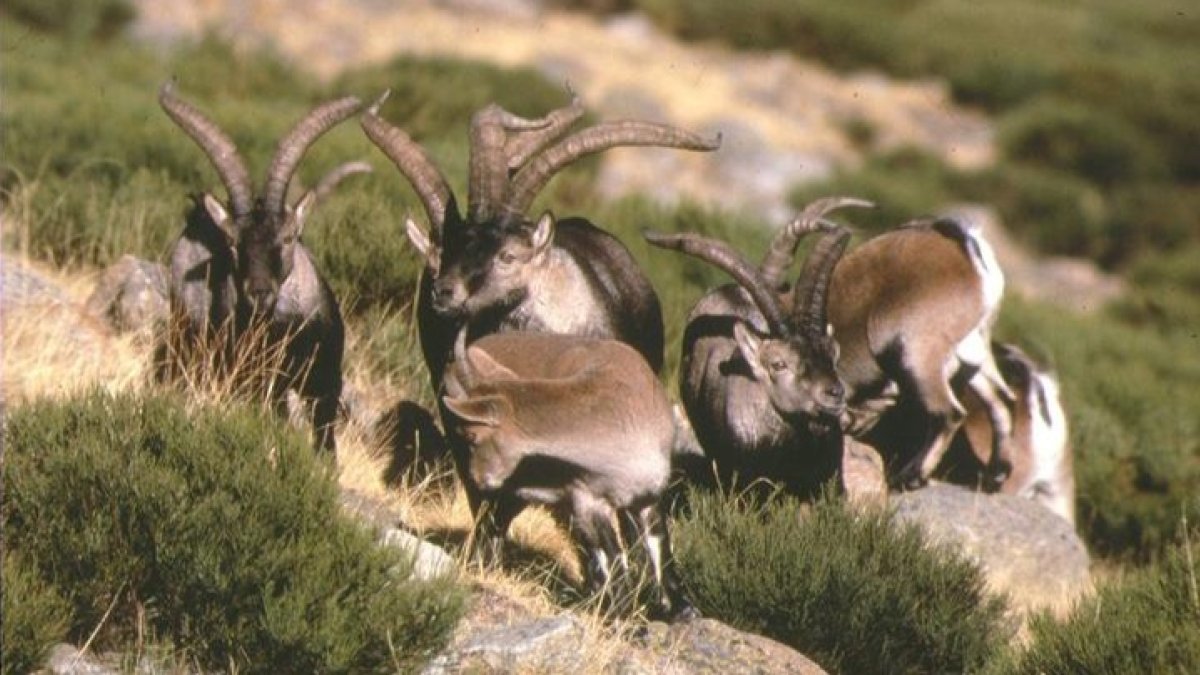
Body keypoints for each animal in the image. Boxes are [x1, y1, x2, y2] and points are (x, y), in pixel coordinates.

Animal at [158, 81, 359, 453]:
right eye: (233, 243)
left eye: (288, 237)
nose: (259, 292)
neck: (287, 326)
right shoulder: (263, 384)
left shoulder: (326, 384)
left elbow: (326, 443)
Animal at [441, 330, 695, 620]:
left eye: (473, 435)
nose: (479, 477)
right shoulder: (588, 501)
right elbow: (613, 558)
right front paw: (624, 616)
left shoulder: (648, 497)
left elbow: (660, 549)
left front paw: (680, 609)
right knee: (487, 526)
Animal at [647, 200, 1014, 493]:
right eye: (779, 363)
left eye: (832, 353)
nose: (835, 394)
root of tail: (967, 248)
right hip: (973, 357)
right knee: (1003, 401)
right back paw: (996, 474)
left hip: (915, 352)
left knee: (950, 411)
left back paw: (908, 478)